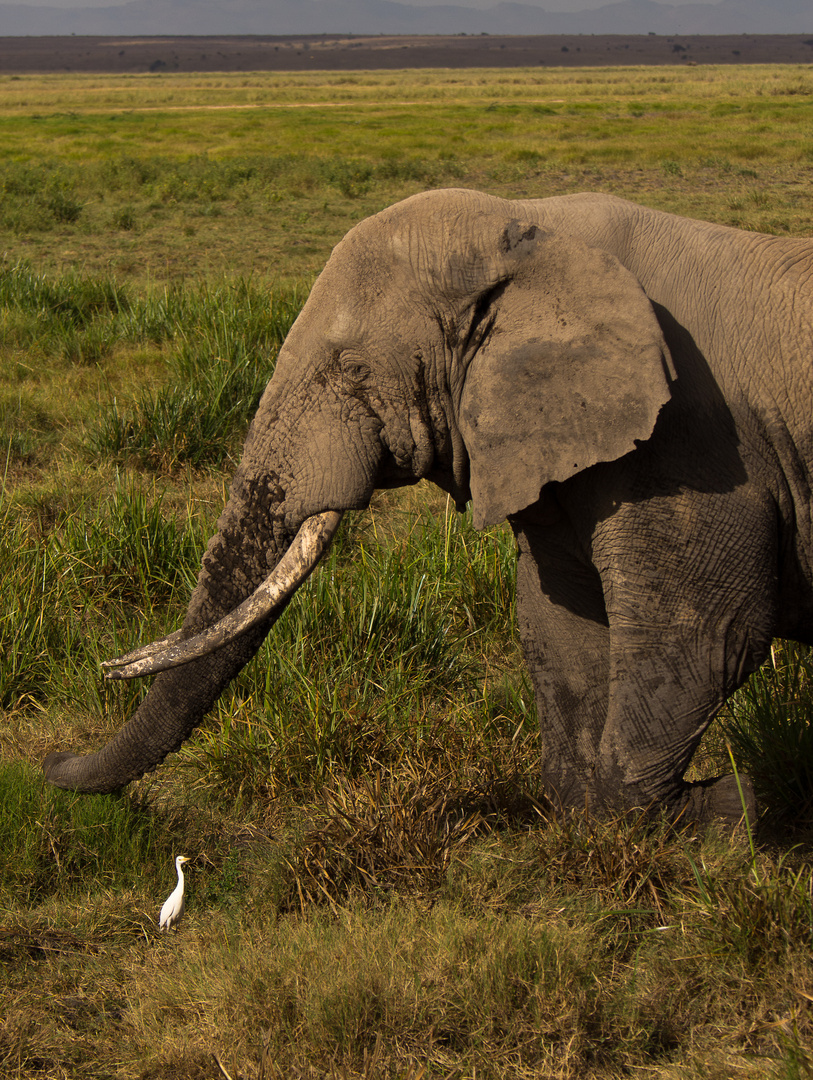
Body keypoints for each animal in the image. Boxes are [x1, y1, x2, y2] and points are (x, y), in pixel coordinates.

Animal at [42, 190, 811, 820]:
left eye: (352, 370)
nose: (50, 761)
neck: (530, 225)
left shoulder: (693, 449)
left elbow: (706, 634)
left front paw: (735, 811)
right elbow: (558, 623)